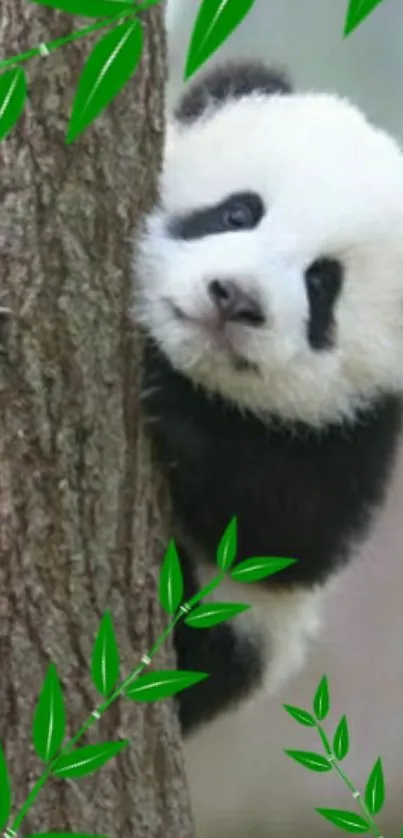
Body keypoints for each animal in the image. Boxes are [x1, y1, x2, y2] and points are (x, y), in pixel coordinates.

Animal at [134, 59, 403, 740]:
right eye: (238, 212)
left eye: (322, 282)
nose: (234, 297)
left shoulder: (361, 431)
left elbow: (291, 534)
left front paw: (172, 412)